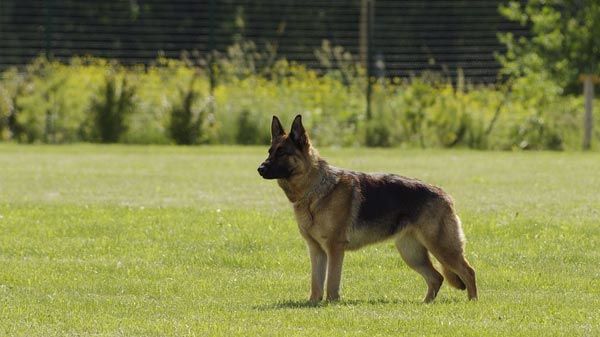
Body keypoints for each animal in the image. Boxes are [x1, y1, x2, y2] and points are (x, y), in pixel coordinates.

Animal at [258, 115, 478, 302]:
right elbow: (316, 283)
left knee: (468, 271)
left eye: (282, 153)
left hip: (441, 248)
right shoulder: (316, 250)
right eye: (270, 151)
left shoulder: (334, 248)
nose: (259, 169)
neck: (315, 189)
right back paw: (425, 304)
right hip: (412, 253)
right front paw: (313, 303)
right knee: (436, 277)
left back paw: (472, 302)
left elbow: (331, 282)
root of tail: (444, 194)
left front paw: (331, 303)